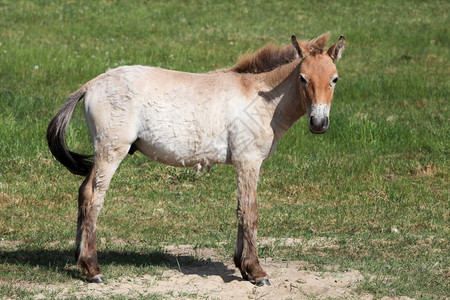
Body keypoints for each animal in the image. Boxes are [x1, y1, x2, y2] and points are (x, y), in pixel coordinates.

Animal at [46, 32, 344, 286]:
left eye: (335, 79)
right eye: (303, 78)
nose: (319, 123)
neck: (259, 98)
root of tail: (92, 84)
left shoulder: (243, 164)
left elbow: (240, 209)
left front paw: (243, 267)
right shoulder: (248, 161)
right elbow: (250, 211)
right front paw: (257, 271)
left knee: (82, 192)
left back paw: (79, 259)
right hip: (111, 152)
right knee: (93, 197)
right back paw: (92, 269)